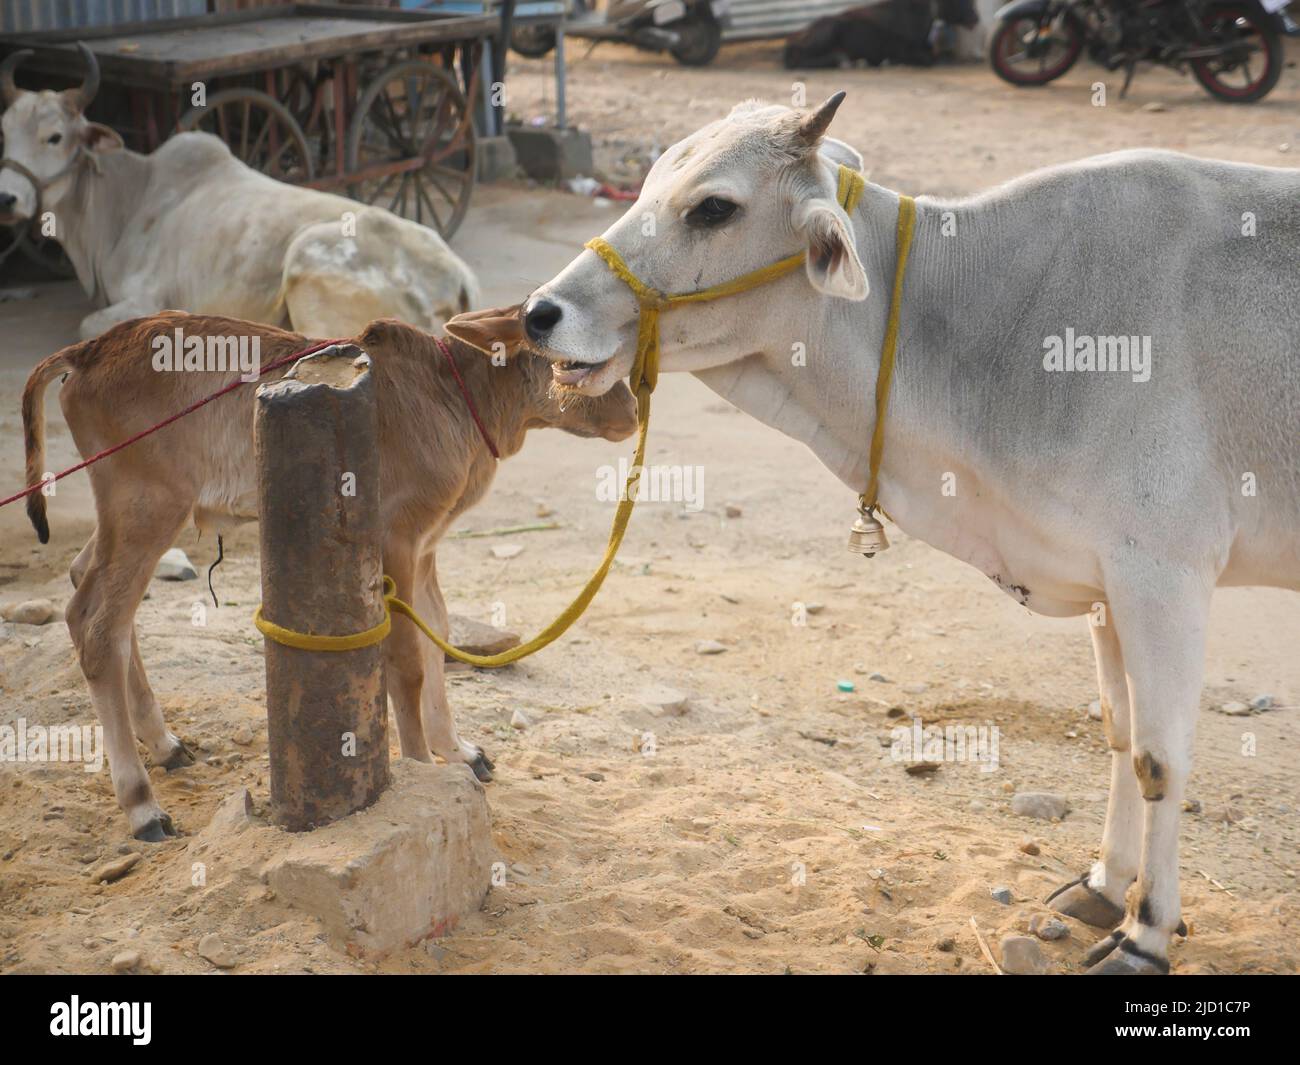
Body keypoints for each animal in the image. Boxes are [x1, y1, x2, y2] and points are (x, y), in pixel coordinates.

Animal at [0, 44, 480, 338]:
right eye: (3, 132)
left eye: (55, 137)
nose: (7, 199)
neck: (124, 200)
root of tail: (456, 273)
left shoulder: (146, 299)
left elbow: (86, 326)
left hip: (308, 263)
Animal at [21, 310, 639, 842]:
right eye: (568, 353)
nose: (632, 412)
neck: (456, 393)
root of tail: (86, 353)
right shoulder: (396, 539)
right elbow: (408, 660)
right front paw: (422, 766)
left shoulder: (426, 546)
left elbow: (437, 633)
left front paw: (459, 751)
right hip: (148, 507)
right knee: (97, 624)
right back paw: (143, 806)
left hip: (128, 516)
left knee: (86, 587)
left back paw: (165, 743)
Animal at [467, 93, 1300, 972]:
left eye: (713, 207)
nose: (539, 314)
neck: (1008, 334)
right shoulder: (1106, 579)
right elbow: (1117, 732)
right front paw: (1107, 884)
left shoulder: (1163, 573)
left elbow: (1158, 757)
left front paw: (1147, 930)